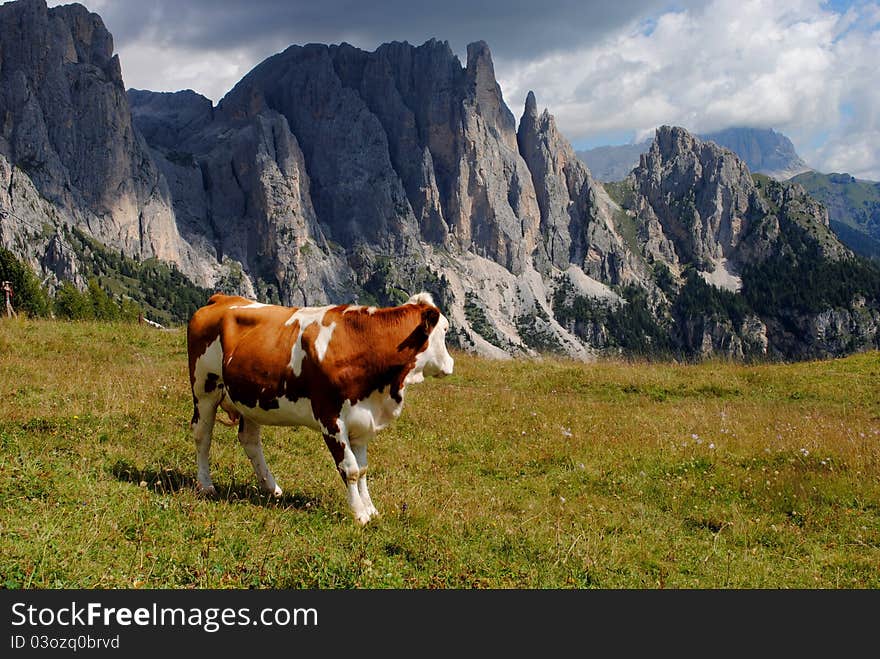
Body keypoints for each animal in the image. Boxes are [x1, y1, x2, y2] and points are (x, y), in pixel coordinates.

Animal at [190, 294, 458, 524]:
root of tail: (222, 298)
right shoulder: (331, 420)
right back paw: (206, 485)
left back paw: (271, 487)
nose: (451, 363)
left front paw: (371, 509)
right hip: (204, 390)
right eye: (445, 330)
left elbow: (362, 469)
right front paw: (360, 514)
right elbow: (350, 469)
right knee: (203, 435)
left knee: (250, 440)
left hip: (250, 398)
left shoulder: (362, 421)